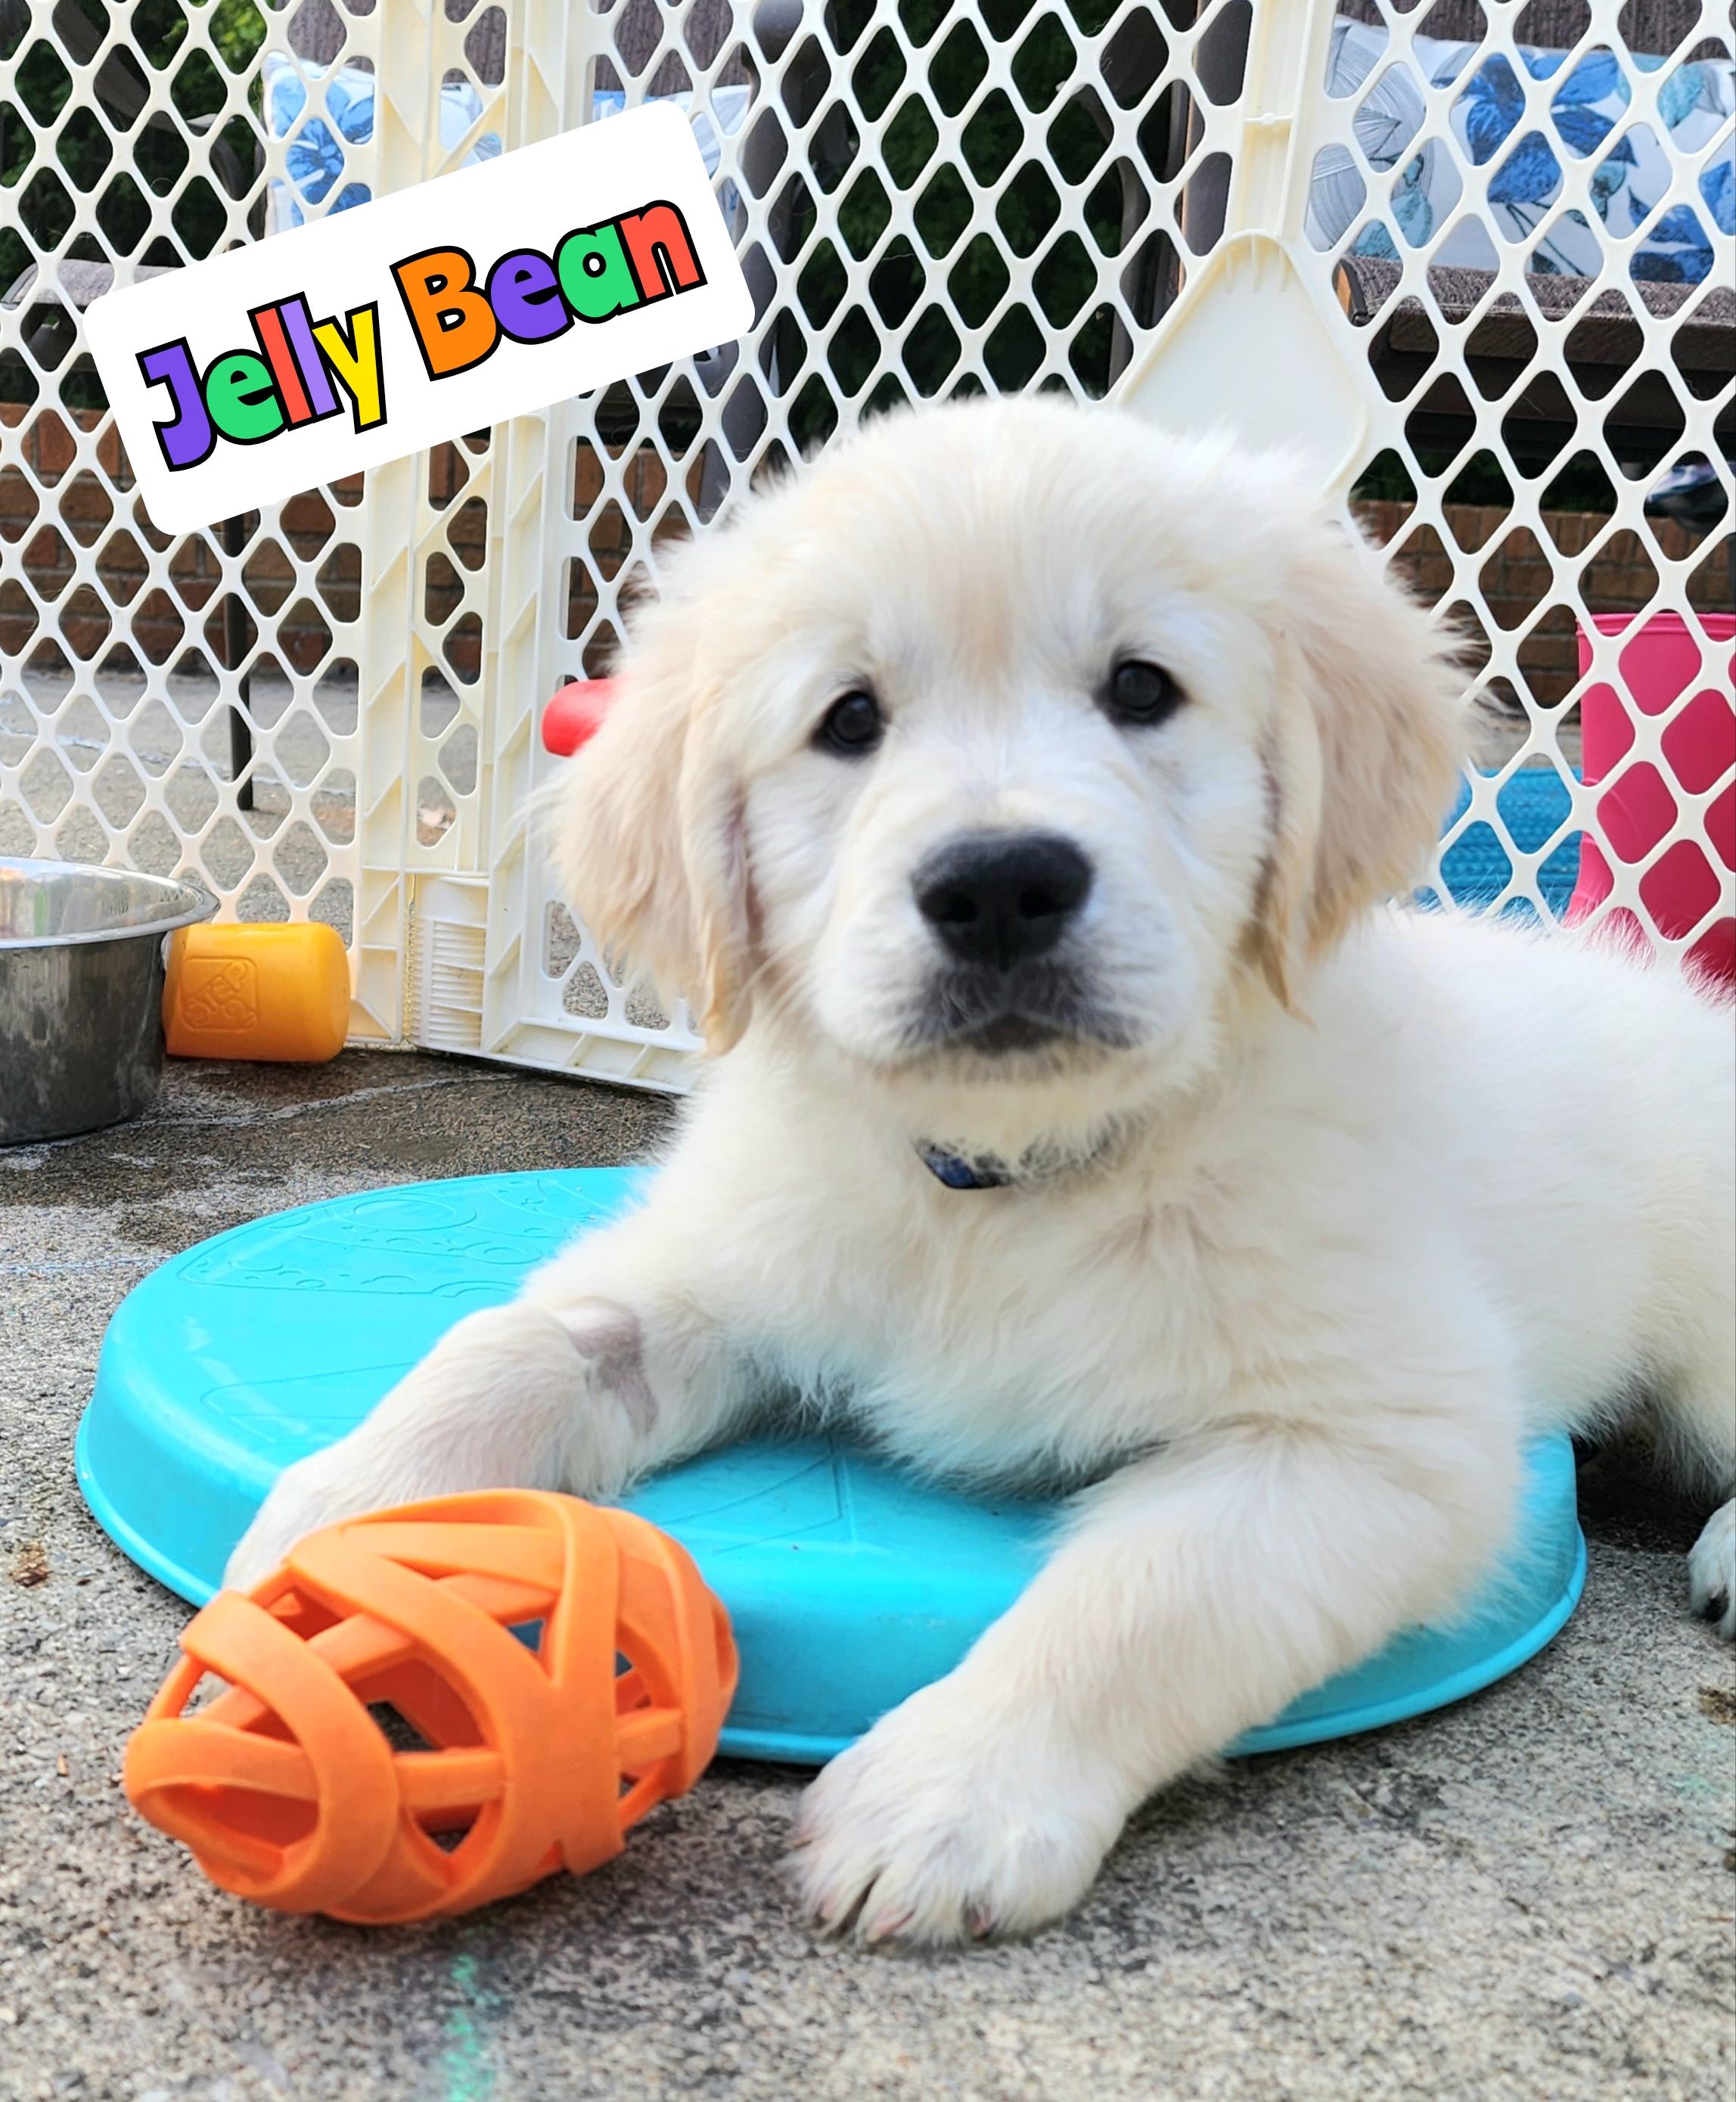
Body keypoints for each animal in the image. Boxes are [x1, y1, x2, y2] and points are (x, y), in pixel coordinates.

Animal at [228, 397, 1735, 1944]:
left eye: (1141, 688)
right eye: (847, 718)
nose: (1002, 884)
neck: (1000, 1176)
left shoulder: (1371, 1437)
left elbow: (1139, 1595)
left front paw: (954, 1790)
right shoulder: (723, 1261)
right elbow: (518, 1340)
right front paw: (345, 1516)